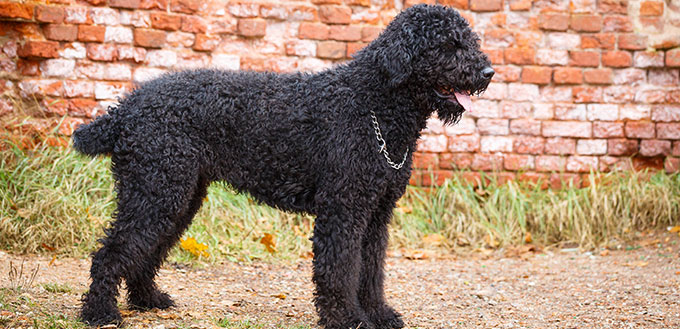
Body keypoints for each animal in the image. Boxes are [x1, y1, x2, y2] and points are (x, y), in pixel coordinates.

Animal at [73, 5, 488, 328]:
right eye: (446, 46)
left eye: (470, 42)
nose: (487, 73)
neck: (371, 103)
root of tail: (125, 109)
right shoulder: (343, 211)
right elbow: (339, 270)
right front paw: (347, 319)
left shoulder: (376, 215)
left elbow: (370, 272)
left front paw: (379, 315)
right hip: (155, 193)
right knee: (111, 253)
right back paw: (100, 312)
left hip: (176, 197)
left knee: (146, 251)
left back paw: (148, 299)